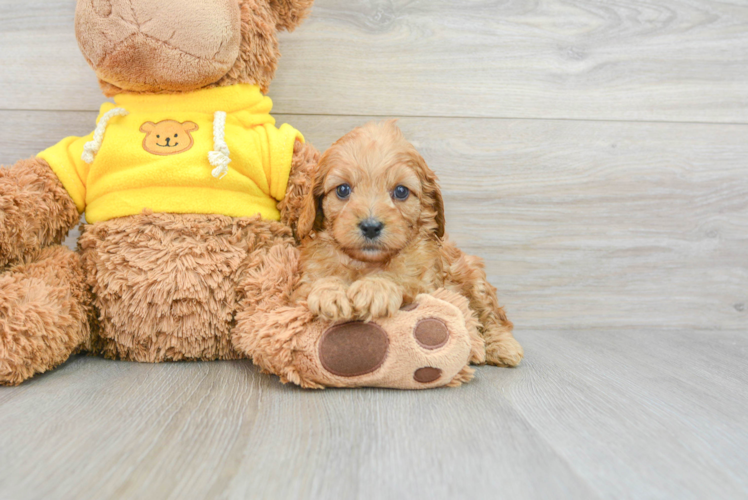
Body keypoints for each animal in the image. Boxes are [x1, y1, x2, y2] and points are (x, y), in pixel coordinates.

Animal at [294, 121, 524, 368]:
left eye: (401, 191)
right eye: (343, 190)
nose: (371, 226)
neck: (366, 263)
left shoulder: (427, 284)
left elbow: (402, 278)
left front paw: (375, 288)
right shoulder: (301, 287)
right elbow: (316, 284)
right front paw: (329, 292)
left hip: (473, 277)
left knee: (493, 316)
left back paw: (501, 346)